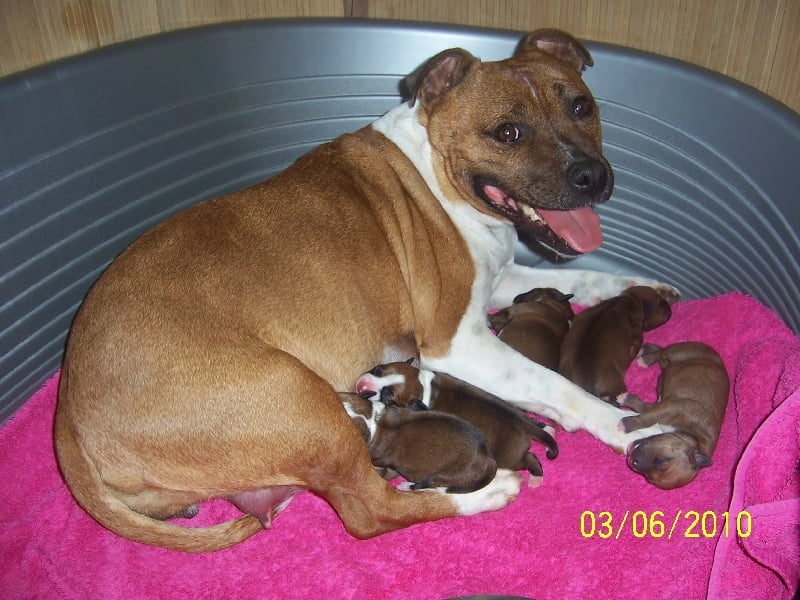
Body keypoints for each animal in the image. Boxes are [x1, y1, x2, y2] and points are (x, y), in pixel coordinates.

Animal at [356, 358, 556, 486]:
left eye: (388, 397)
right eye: (377, 369)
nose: (361, 386)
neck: (423, 386)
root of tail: (522, 424)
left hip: (510, 458)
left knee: (530, 459)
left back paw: (536, 478)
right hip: (519, 413)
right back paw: (548, 429)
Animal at [620, 342, 728, 488]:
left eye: (649, 479)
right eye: (663, 460)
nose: (633, 460)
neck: (693, 436)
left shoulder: (662, 404)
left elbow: (644, 409)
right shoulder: (671, 406)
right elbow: (648, 418)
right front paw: (625, 424)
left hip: (669, 364)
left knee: (661, 355)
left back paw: (645, 351)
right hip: (679, 351)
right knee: (662, 352)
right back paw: (645, 358)